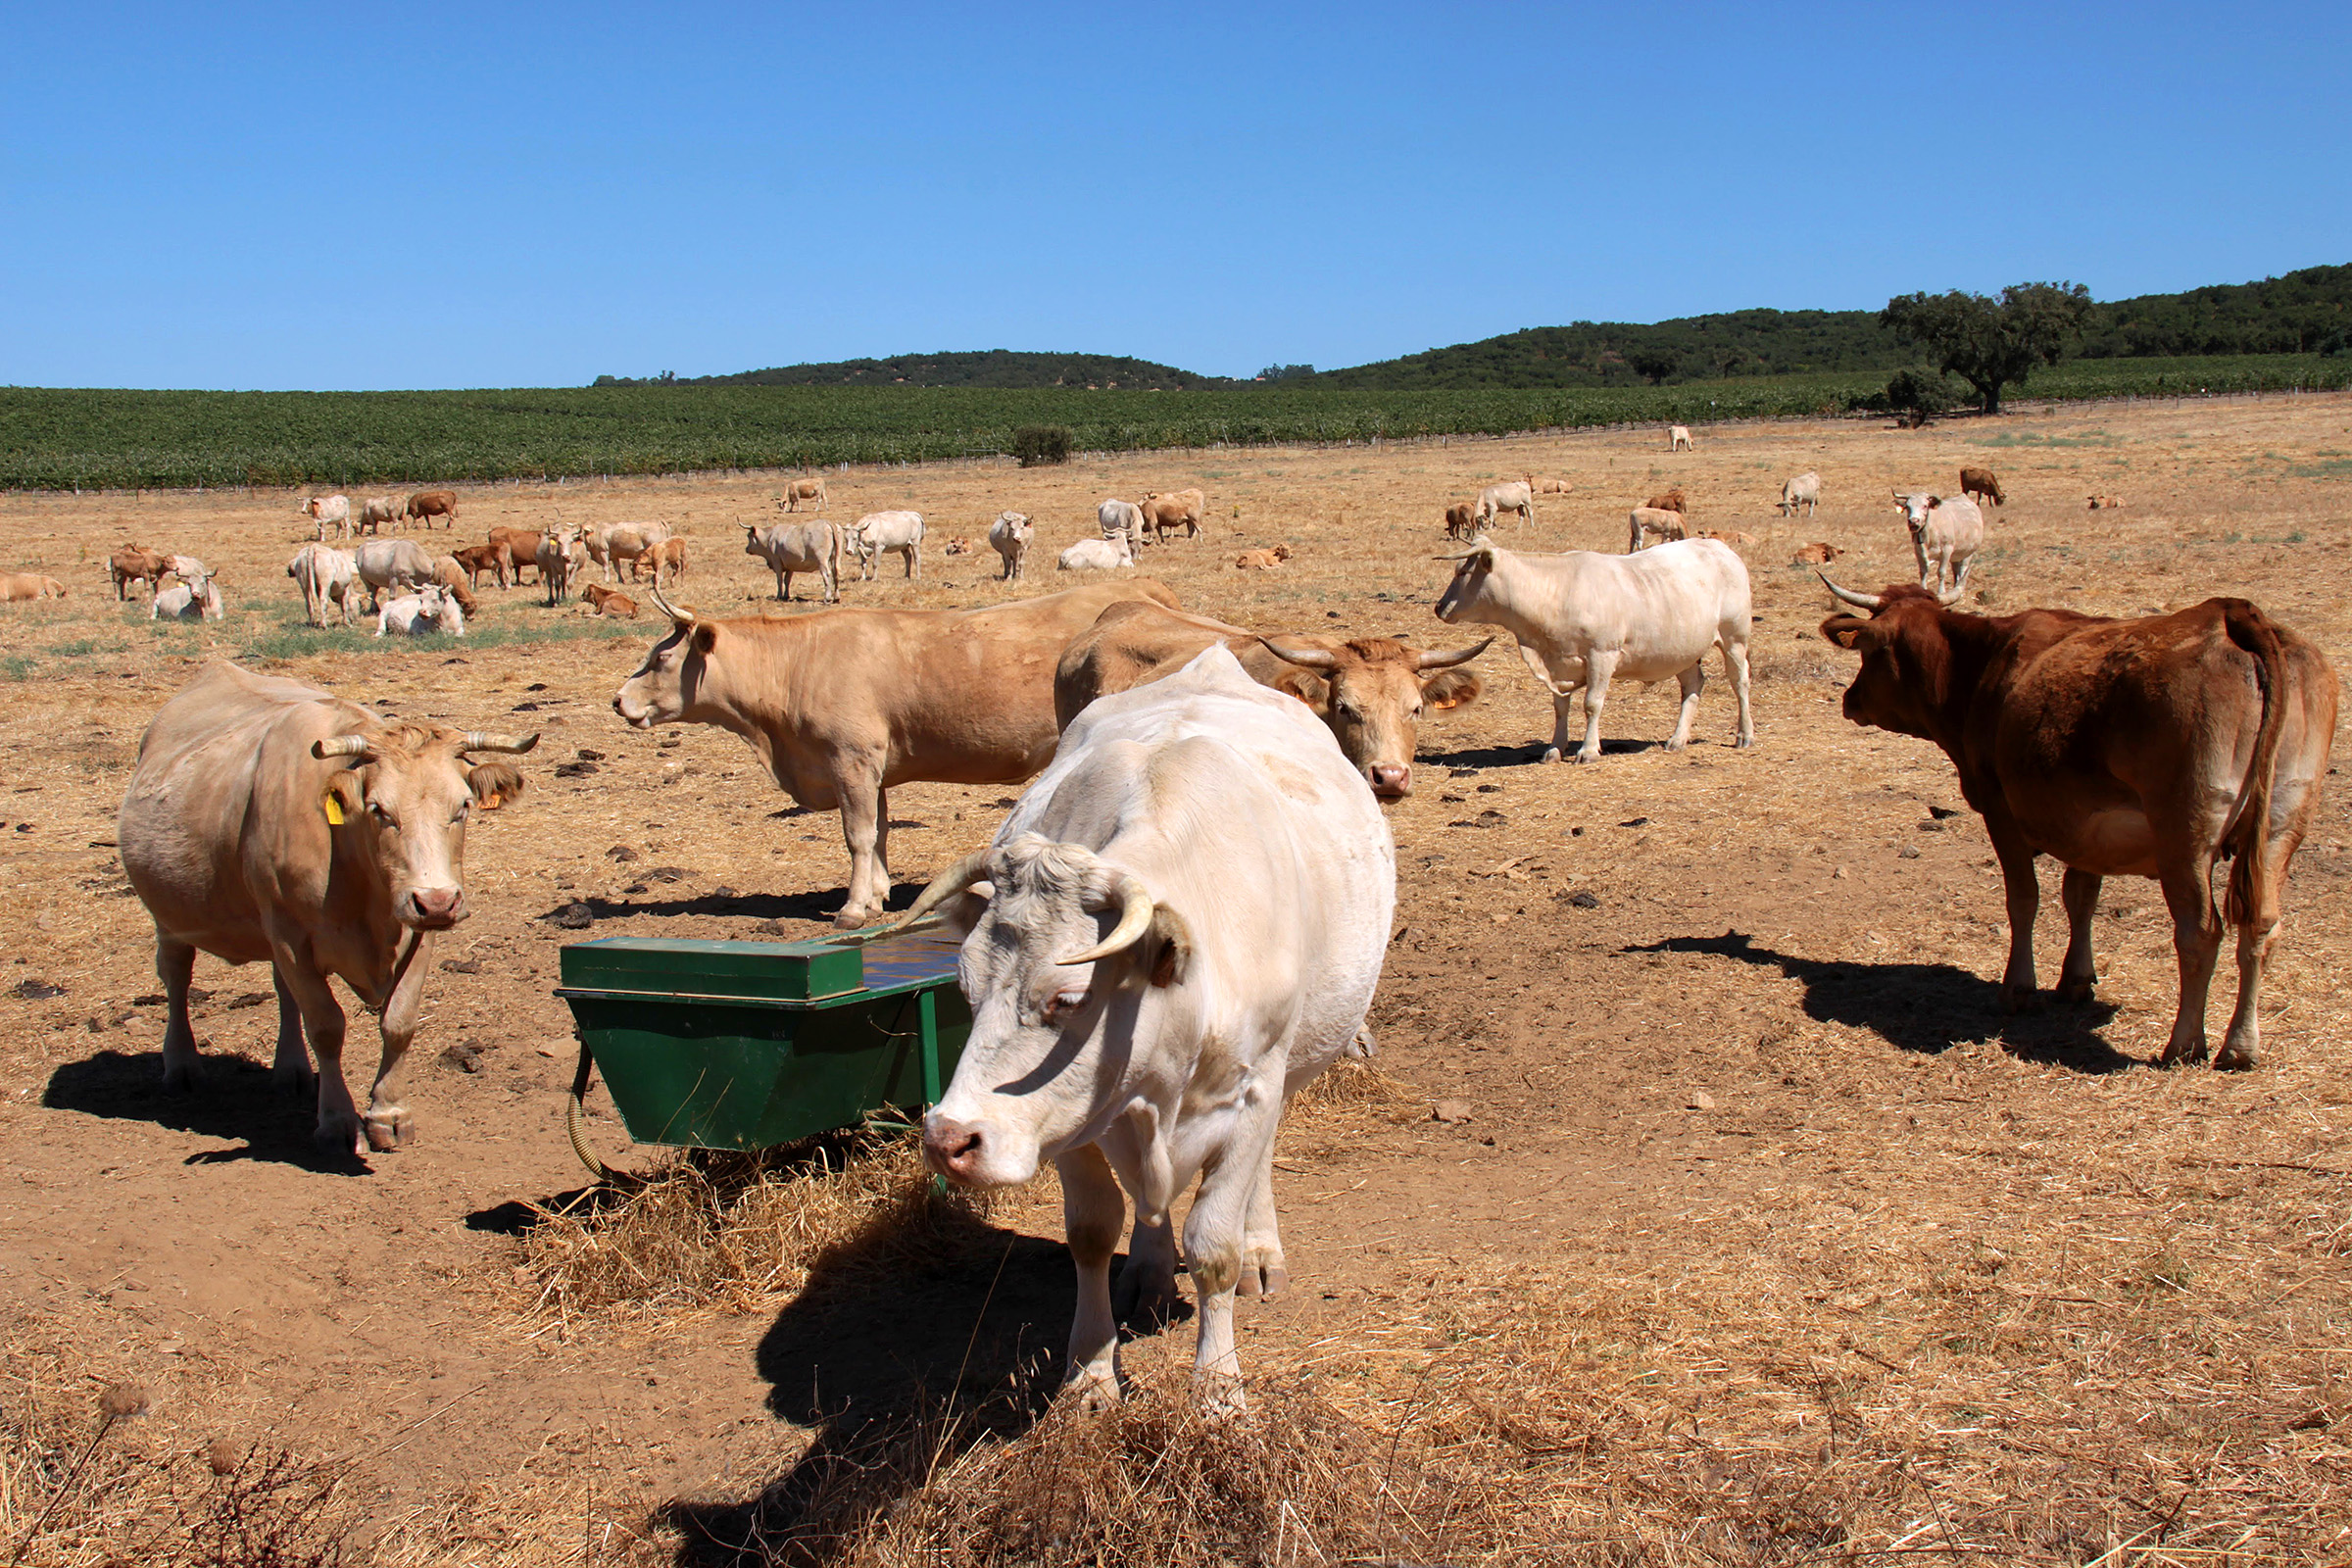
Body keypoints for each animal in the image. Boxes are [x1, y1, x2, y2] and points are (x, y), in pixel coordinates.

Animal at [117, 661, 534, 1151]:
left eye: (463, 806)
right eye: (378, 810)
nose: (436, 902)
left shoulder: (418, 932)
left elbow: (399, 1021)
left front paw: (389, 1113)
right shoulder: (291, 934)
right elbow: (326, 1026)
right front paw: (336, 1121)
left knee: (282, 991)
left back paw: (291, 1070)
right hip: (171, 915)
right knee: (177, 976)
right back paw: (182, 1065)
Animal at [611, 579, 1180, 928]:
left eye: (661, 658)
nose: (618, 700)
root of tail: (1141, 591)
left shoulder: (850, 759)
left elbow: (857, 837)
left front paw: (852, 907)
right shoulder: (869, 769)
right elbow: (879, 832)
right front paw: (878, 893)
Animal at [890, 644, 1395, 1411]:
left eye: (1069, 999)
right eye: (964, 990)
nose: (949, 1141)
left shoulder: (1253, 1091)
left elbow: (1213, 1244)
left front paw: (1218, 1391)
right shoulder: (1067, 1118)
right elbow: (1093, 1233)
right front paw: (1090, 1376)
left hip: (1290, 1068)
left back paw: (1261, 1250)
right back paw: (1151, 1274)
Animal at [1434, 536, 1754, 763]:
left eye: (1462, 572)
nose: (1439, 607)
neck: (1556, 593)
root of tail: (1719, 547)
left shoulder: (1602, 655)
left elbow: (1592, 704)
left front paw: (1588, 750)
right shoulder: (1558, 662)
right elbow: (1560, 708)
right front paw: (1555, 748)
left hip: (1734, 638)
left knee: (1740, 682)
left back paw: (1744, 734)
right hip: (1682, 650)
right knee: (1692, 686)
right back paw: (1678, 739)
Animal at [1817, 578, 2337, 1069]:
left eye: (1866, 651)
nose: (1850, 699)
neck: (1980, 666)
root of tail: (2229, 615)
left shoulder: (2001, 811)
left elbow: (2024, 899)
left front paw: (2018, 987)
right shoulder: (2086, 825)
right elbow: (2081, 897)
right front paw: (2076, 979)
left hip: (2186, 834)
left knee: (2201, 931)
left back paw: (2184, 1043)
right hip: (2281, 825)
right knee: (2261, 926)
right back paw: (2241, 1046)